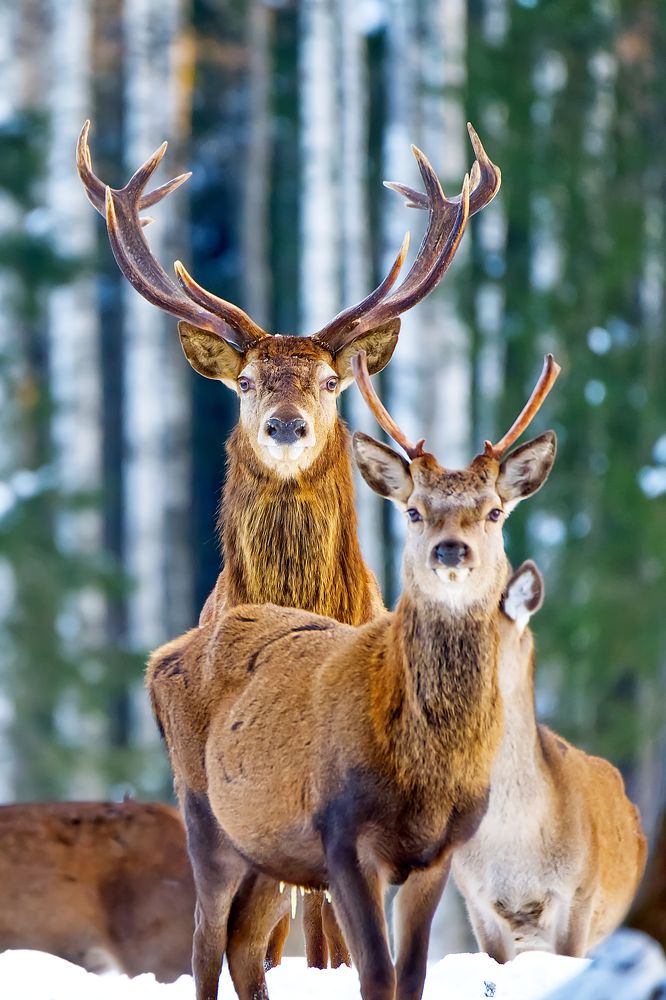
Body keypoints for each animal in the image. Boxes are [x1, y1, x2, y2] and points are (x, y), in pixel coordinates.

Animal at [147, 343, 561, 1000]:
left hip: (266, 840)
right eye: (413, 511)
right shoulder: (341, 837)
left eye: (495, 511)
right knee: (205, 939)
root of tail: (160, 659)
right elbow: (374, 971)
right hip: (202, 808)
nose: (451, 550)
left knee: (244, 942)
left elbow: (410, 974)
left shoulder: (438, 851)